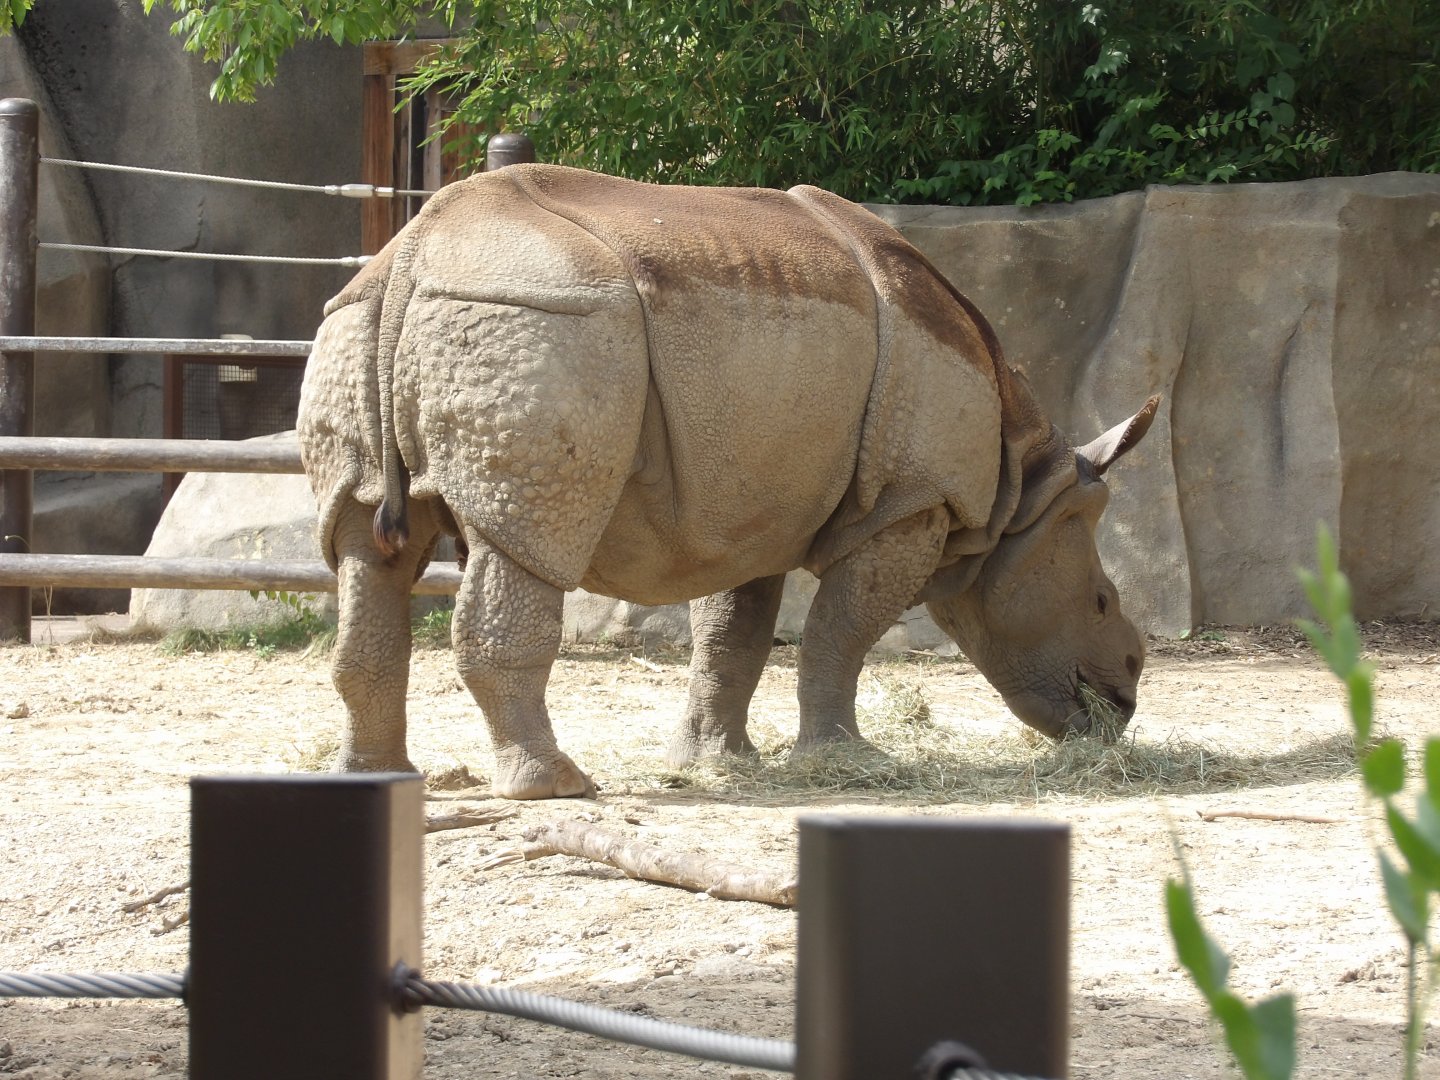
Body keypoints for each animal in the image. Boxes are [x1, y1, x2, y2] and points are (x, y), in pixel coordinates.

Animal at [297, 163, 1157, 800]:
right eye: (1100, 601)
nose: (1125, 696)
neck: (1022, 493)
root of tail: (416, 251)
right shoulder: (912, 502)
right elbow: (843, 630)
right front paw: (847, 763)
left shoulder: (753, 505)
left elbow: (731, 633)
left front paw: (717, 763)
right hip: (543, 318)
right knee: (528, 536)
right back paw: (558, 787)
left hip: (361, 322)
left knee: (366, 551)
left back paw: (376, 778)